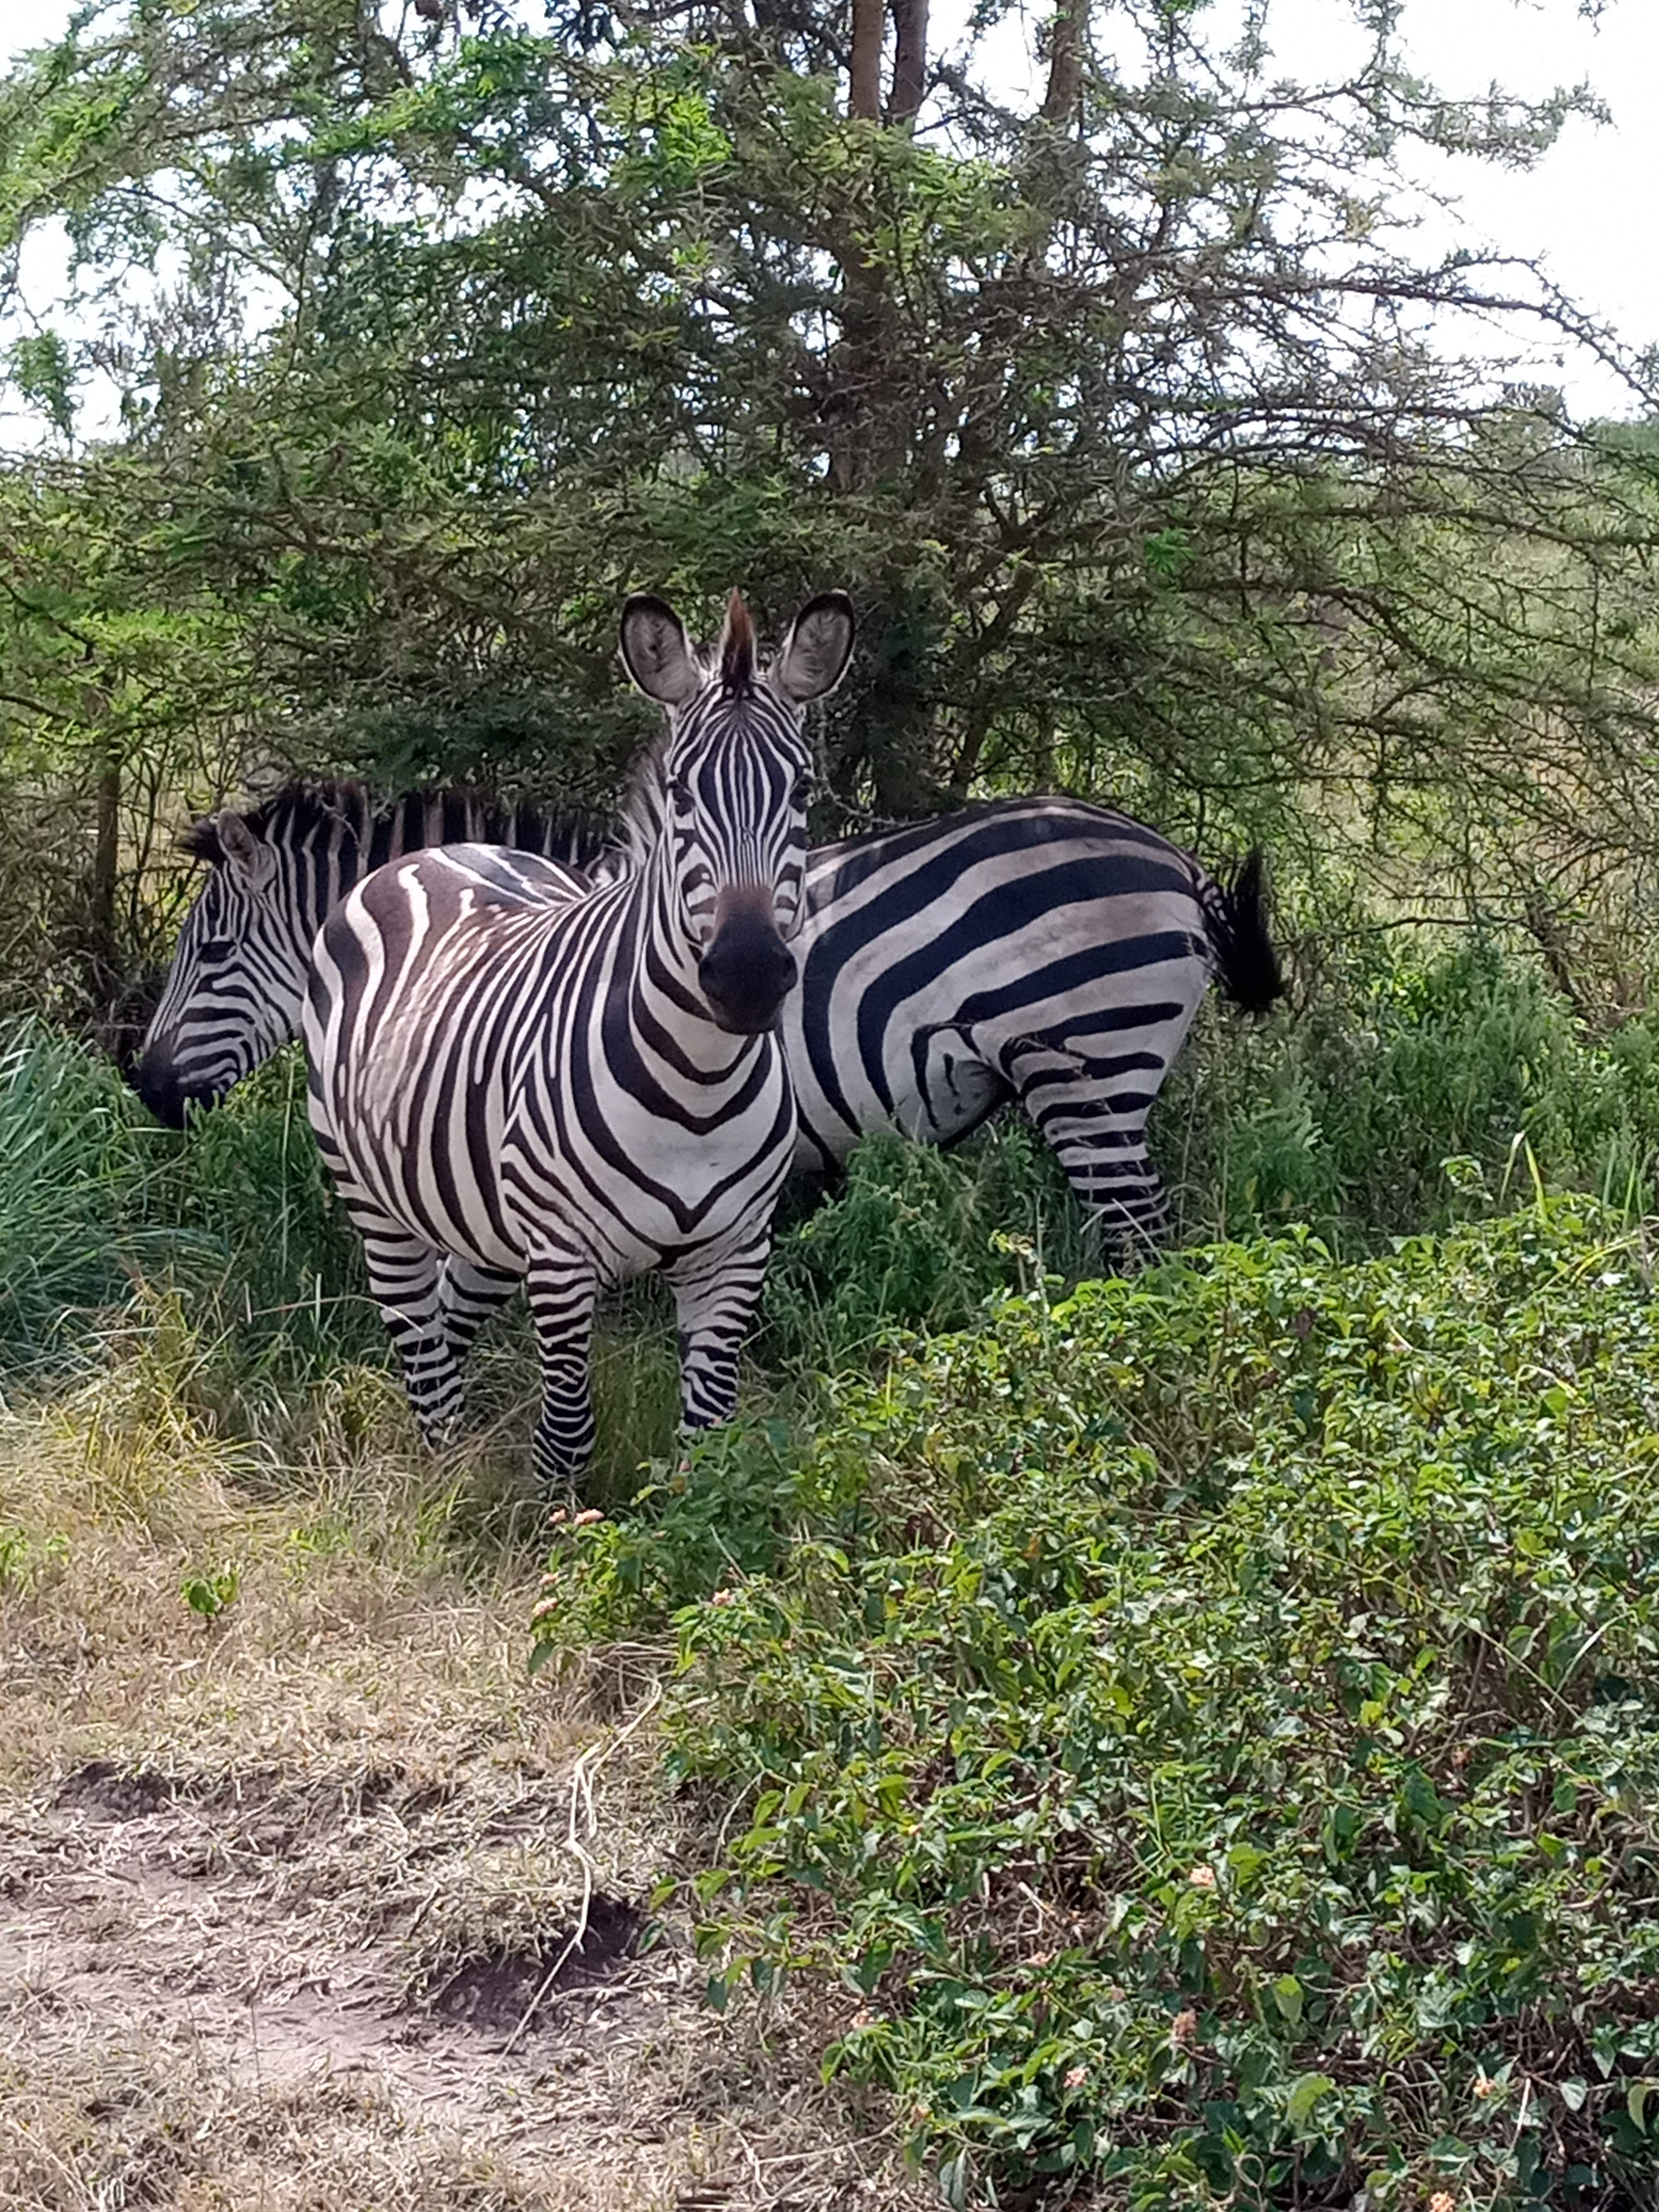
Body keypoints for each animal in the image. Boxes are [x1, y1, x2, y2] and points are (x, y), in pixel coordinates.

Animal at [301, 589, 855, 1483]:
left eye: (801, 788)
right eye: (680, 792)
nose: (745, 976)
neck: (700, 1085)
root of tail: (439, 851)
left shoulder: (735, 1256)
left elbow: (709, 1441)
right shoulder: (562, 1261)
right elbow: (565, 1436)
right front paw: (557, 1519)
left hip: (485, 1221)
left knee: (450, 1319)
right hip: (371, 1196)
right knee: (419, 1343)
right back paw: (442, 1477)